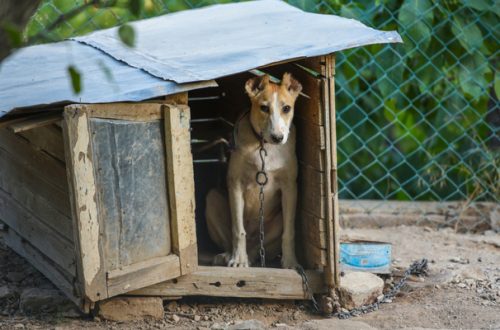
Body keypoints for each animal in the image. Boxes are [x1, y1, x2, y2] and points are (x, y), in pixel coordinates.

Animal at [206, 72, 302, 268]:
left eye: (287, 108)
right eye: (264, 108)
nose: (278, 137)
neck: (264, 146)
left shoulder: (290, 187)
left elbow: (289, 232)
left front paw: (290, 262)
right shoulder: (235, 184)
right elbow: (238, 229)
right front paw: (238, 260)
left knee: (257, 249)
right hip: (211, 198)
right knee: (234, 241)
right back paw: (229, 256)